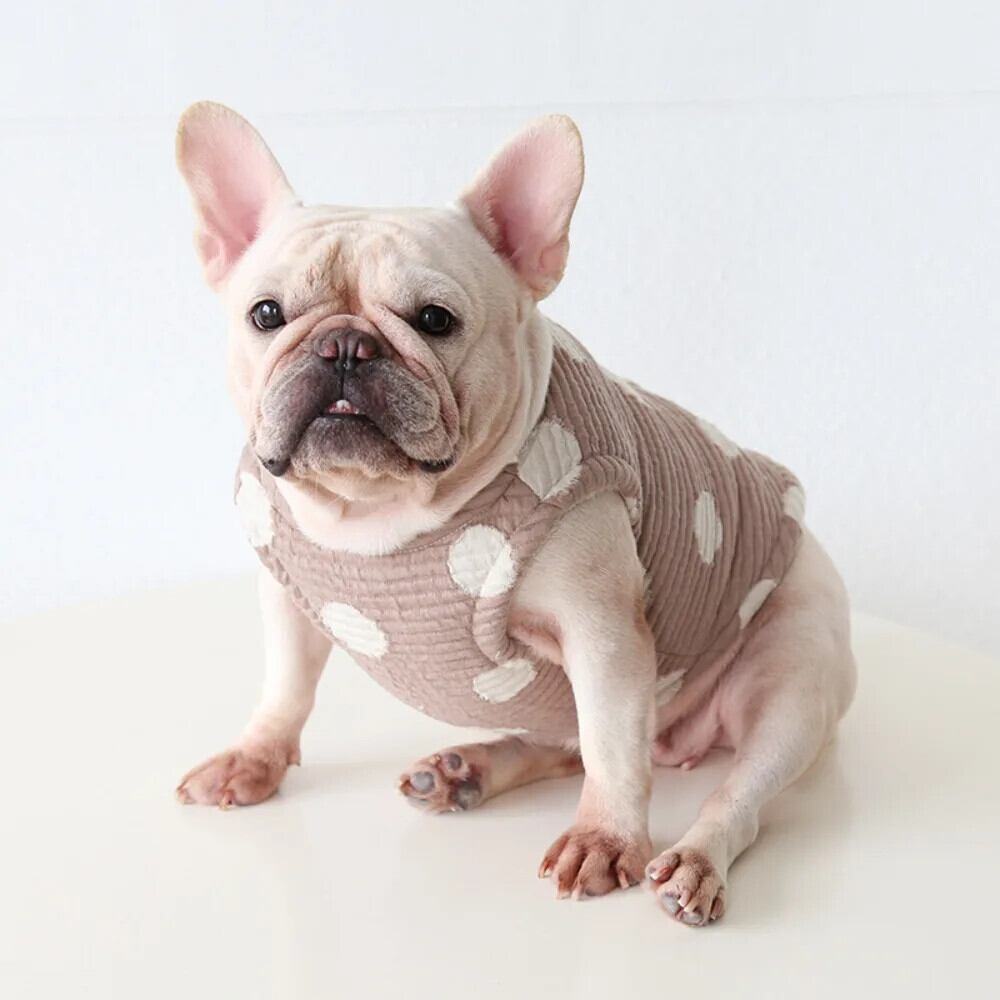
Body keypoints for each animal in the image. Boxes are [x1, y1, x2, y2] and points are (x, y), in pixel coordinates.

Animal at [174, 103, 856, 926]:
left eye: (435, 319)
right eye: (266, 314)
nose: (344, 345)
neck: (378, 513)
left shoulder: (604, 635)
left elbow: (612, 749)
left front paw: (604, 839)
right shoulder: (288, 600)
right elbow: (284, 687)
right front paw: (255, 757)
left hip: (792, 680)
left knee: (732, 791)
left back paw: (693, 860)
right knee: (573, 739)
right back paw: (469, 768)